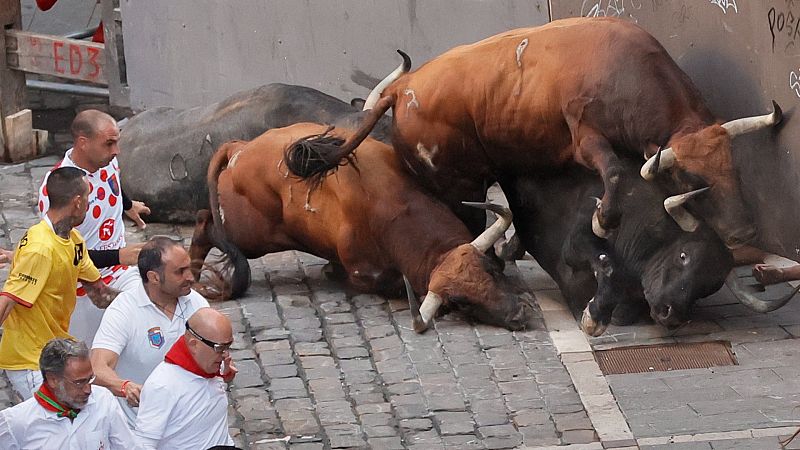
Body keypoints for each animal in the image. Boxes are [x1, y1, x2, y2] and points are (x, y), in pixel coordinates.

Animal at [191, 123, 536, 330]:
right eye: (462, 301)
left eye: (489, 272)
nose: (518, 314)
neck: (396, 206)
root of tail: (238, 148)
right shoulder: (365, 274)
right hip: (250, 236)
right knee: (206, 224)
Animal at [284, 17, 780, 248]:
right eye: (694, 180)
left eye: (734, 169)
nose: (745, 234)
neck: (625, 72)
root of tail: (404, 87)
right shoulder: (585, 138)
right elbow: (615, 171)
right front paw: (604, 220)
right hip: (457, 183)